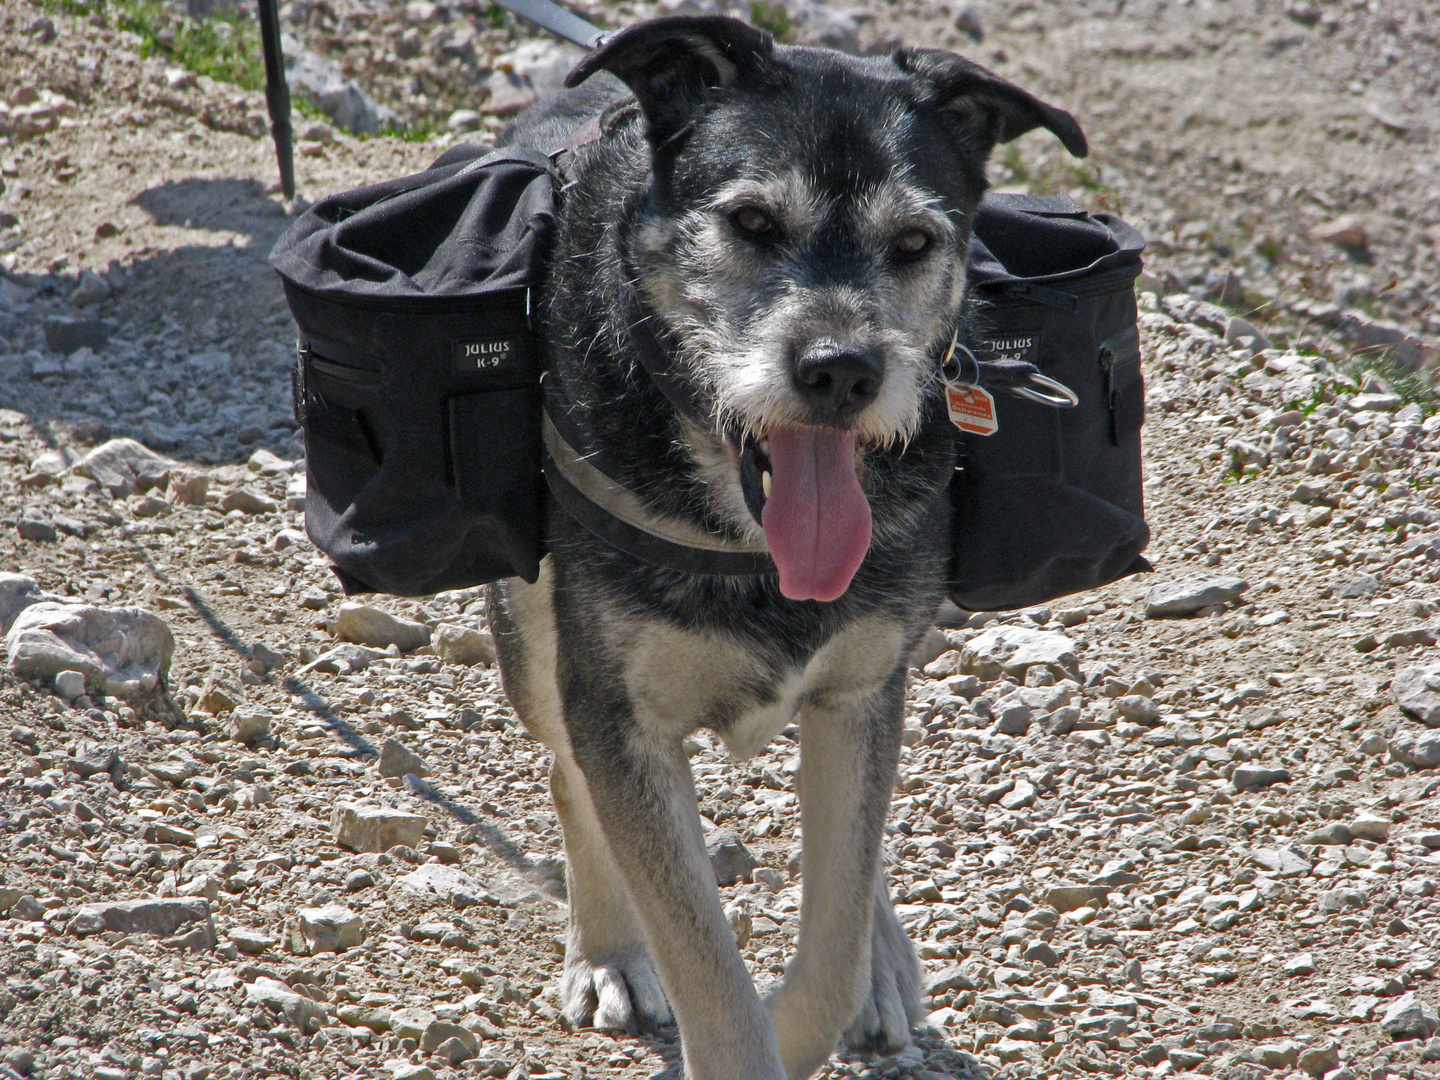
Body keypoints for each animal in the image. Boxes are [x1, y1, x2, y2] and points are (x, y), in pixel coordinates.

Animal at [489, 19, 1082, 1080]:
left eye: (915, 242)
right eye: (754, 222)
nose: (843, 372)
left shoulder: (860, 686)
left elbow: (835, 933)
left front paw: (853, 977)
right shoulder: (620, 718)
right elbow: (709, 970)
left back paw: (887, 962)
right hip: (531, 630)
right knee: (564, 766)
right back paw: (609, 950)